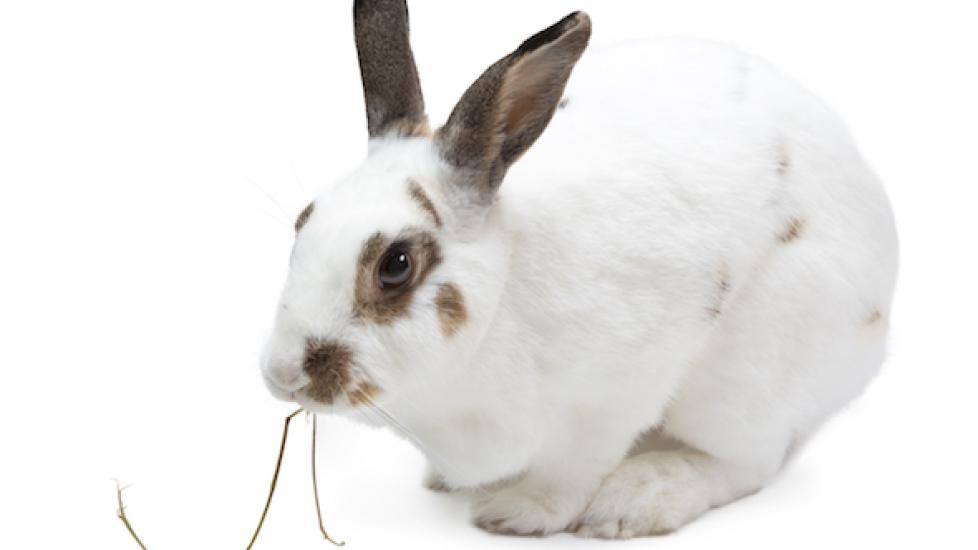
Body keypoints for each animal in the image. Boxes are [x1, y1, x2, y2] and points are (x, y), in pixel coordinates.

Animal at [260, 0, 898, 538]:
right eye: (303, 222)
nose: (281, 376)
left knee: (745, 461)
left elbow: (572, 470)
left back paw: (638, 499)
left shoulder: (614, 395)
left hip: (748, 372)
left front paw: (518, 513)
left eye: (396, 265)